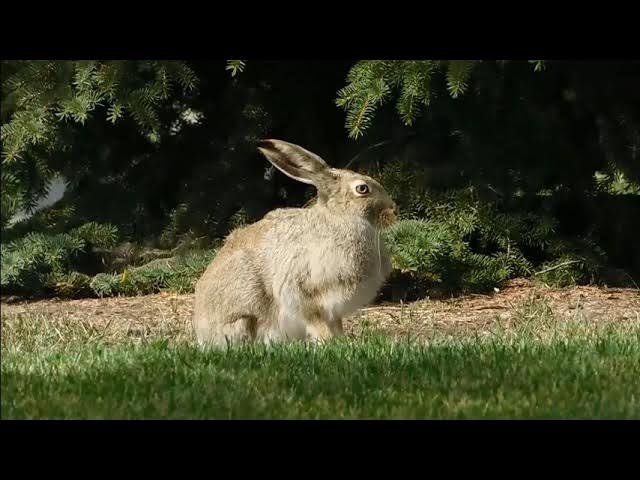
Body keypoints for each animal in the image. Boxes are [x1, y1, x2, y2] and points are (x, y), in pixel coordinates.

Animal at [192, 139, 397, 347]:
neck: (340, 217)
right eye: (362, 189)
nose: (393, 209)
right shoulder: (304, 294)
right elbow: (317, 322)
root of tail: (201, 331)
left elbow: (336, 324)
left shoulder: (334, 310)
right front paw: (328, 342)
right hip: (244, 311)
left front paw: (340, 340)